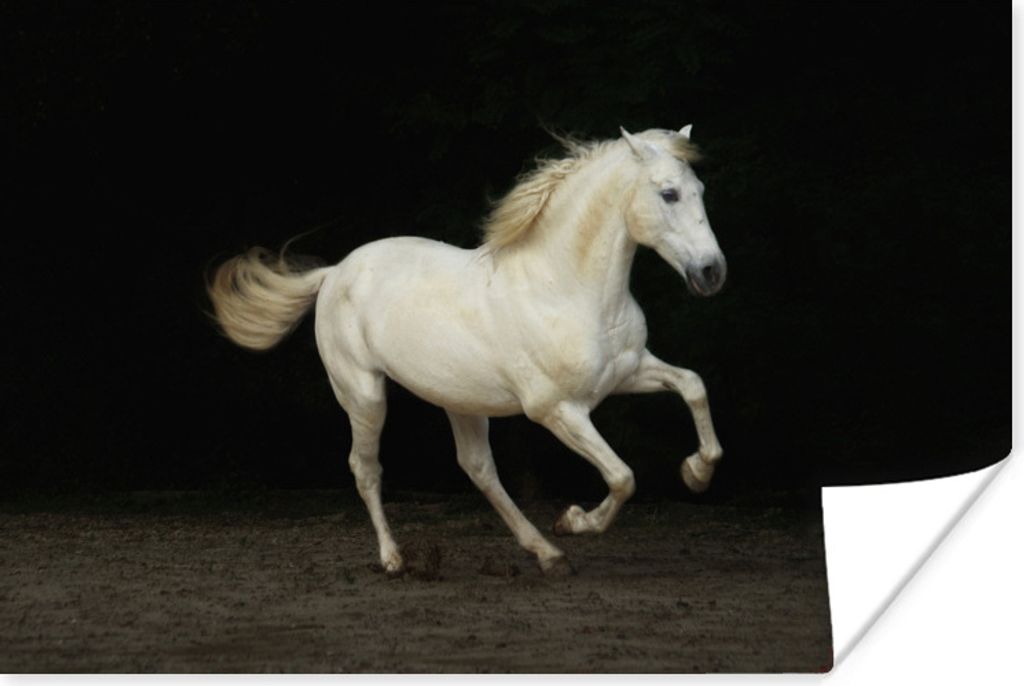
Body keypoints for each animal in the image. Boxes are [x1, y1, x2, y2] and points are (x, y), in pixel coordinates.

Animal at [208, 125, 726, 576]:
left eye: (701, 189)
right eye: (668, 194)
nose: (711, 272)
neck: (563, 288)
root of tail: (334, 272)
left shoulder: (628, 372)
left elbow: (694, 386)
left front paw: (696, 473)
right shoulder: (556, 409)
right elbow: (622, 476)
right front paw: (575, 520)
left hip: (461, 400)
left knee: (479, 469)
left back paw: (547, 554)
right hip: (363, 393)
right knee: (366, 468)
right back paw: (394, 559)